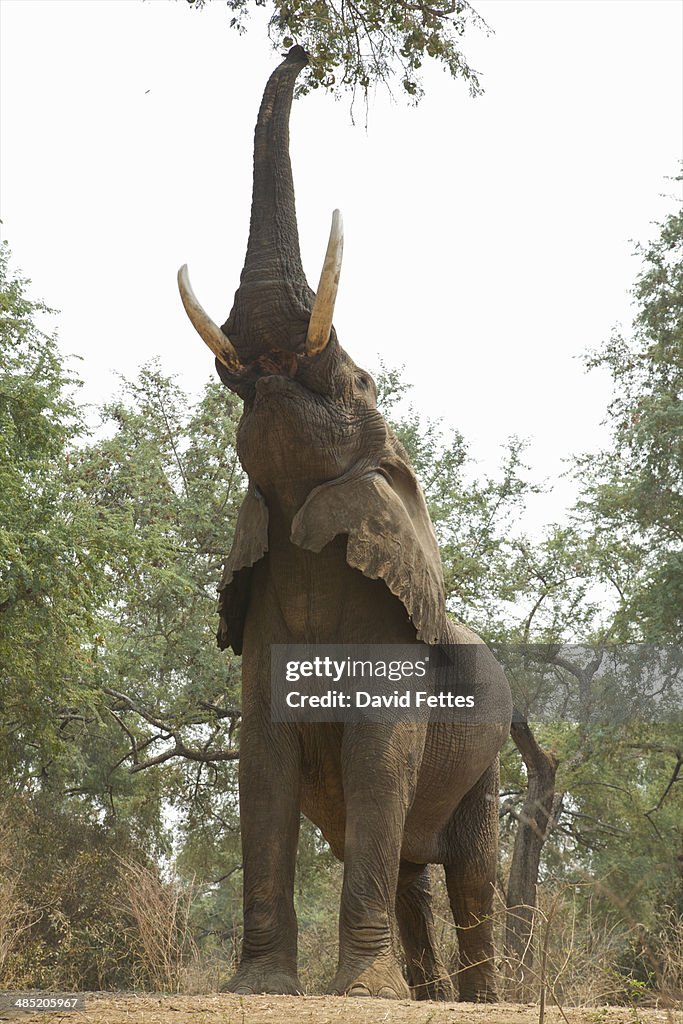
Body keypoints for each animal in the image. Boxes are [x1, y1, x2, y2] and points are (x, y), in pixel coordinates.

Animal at [179, 46, 509, 999]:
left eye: (358, 383)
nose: (302, 50)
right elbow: (263, 767)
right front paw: (261, 989)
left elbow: (374, 764)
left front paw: (357, 994)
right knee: (409, 871)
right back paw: (424, 994)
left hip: (488, 756)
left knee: (470, 872)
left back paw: (477, 1000)